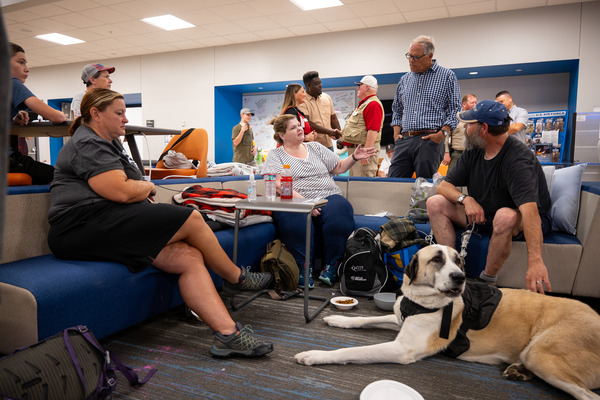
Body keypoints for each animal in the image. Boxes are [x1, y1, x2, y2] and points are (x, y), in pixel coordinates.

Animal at [296, 244, 600, 400]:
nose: (460, 277)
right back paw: (518, 371)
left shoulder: (401, 349)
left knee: (588, 395)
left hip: (542, 353)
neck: (421, 298)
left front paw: (315, 355)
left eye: (459, 262)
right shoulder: (401, 319)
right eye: (436, 260)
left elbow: (351, 351)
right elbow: (367, 319)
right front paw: (338, 318)